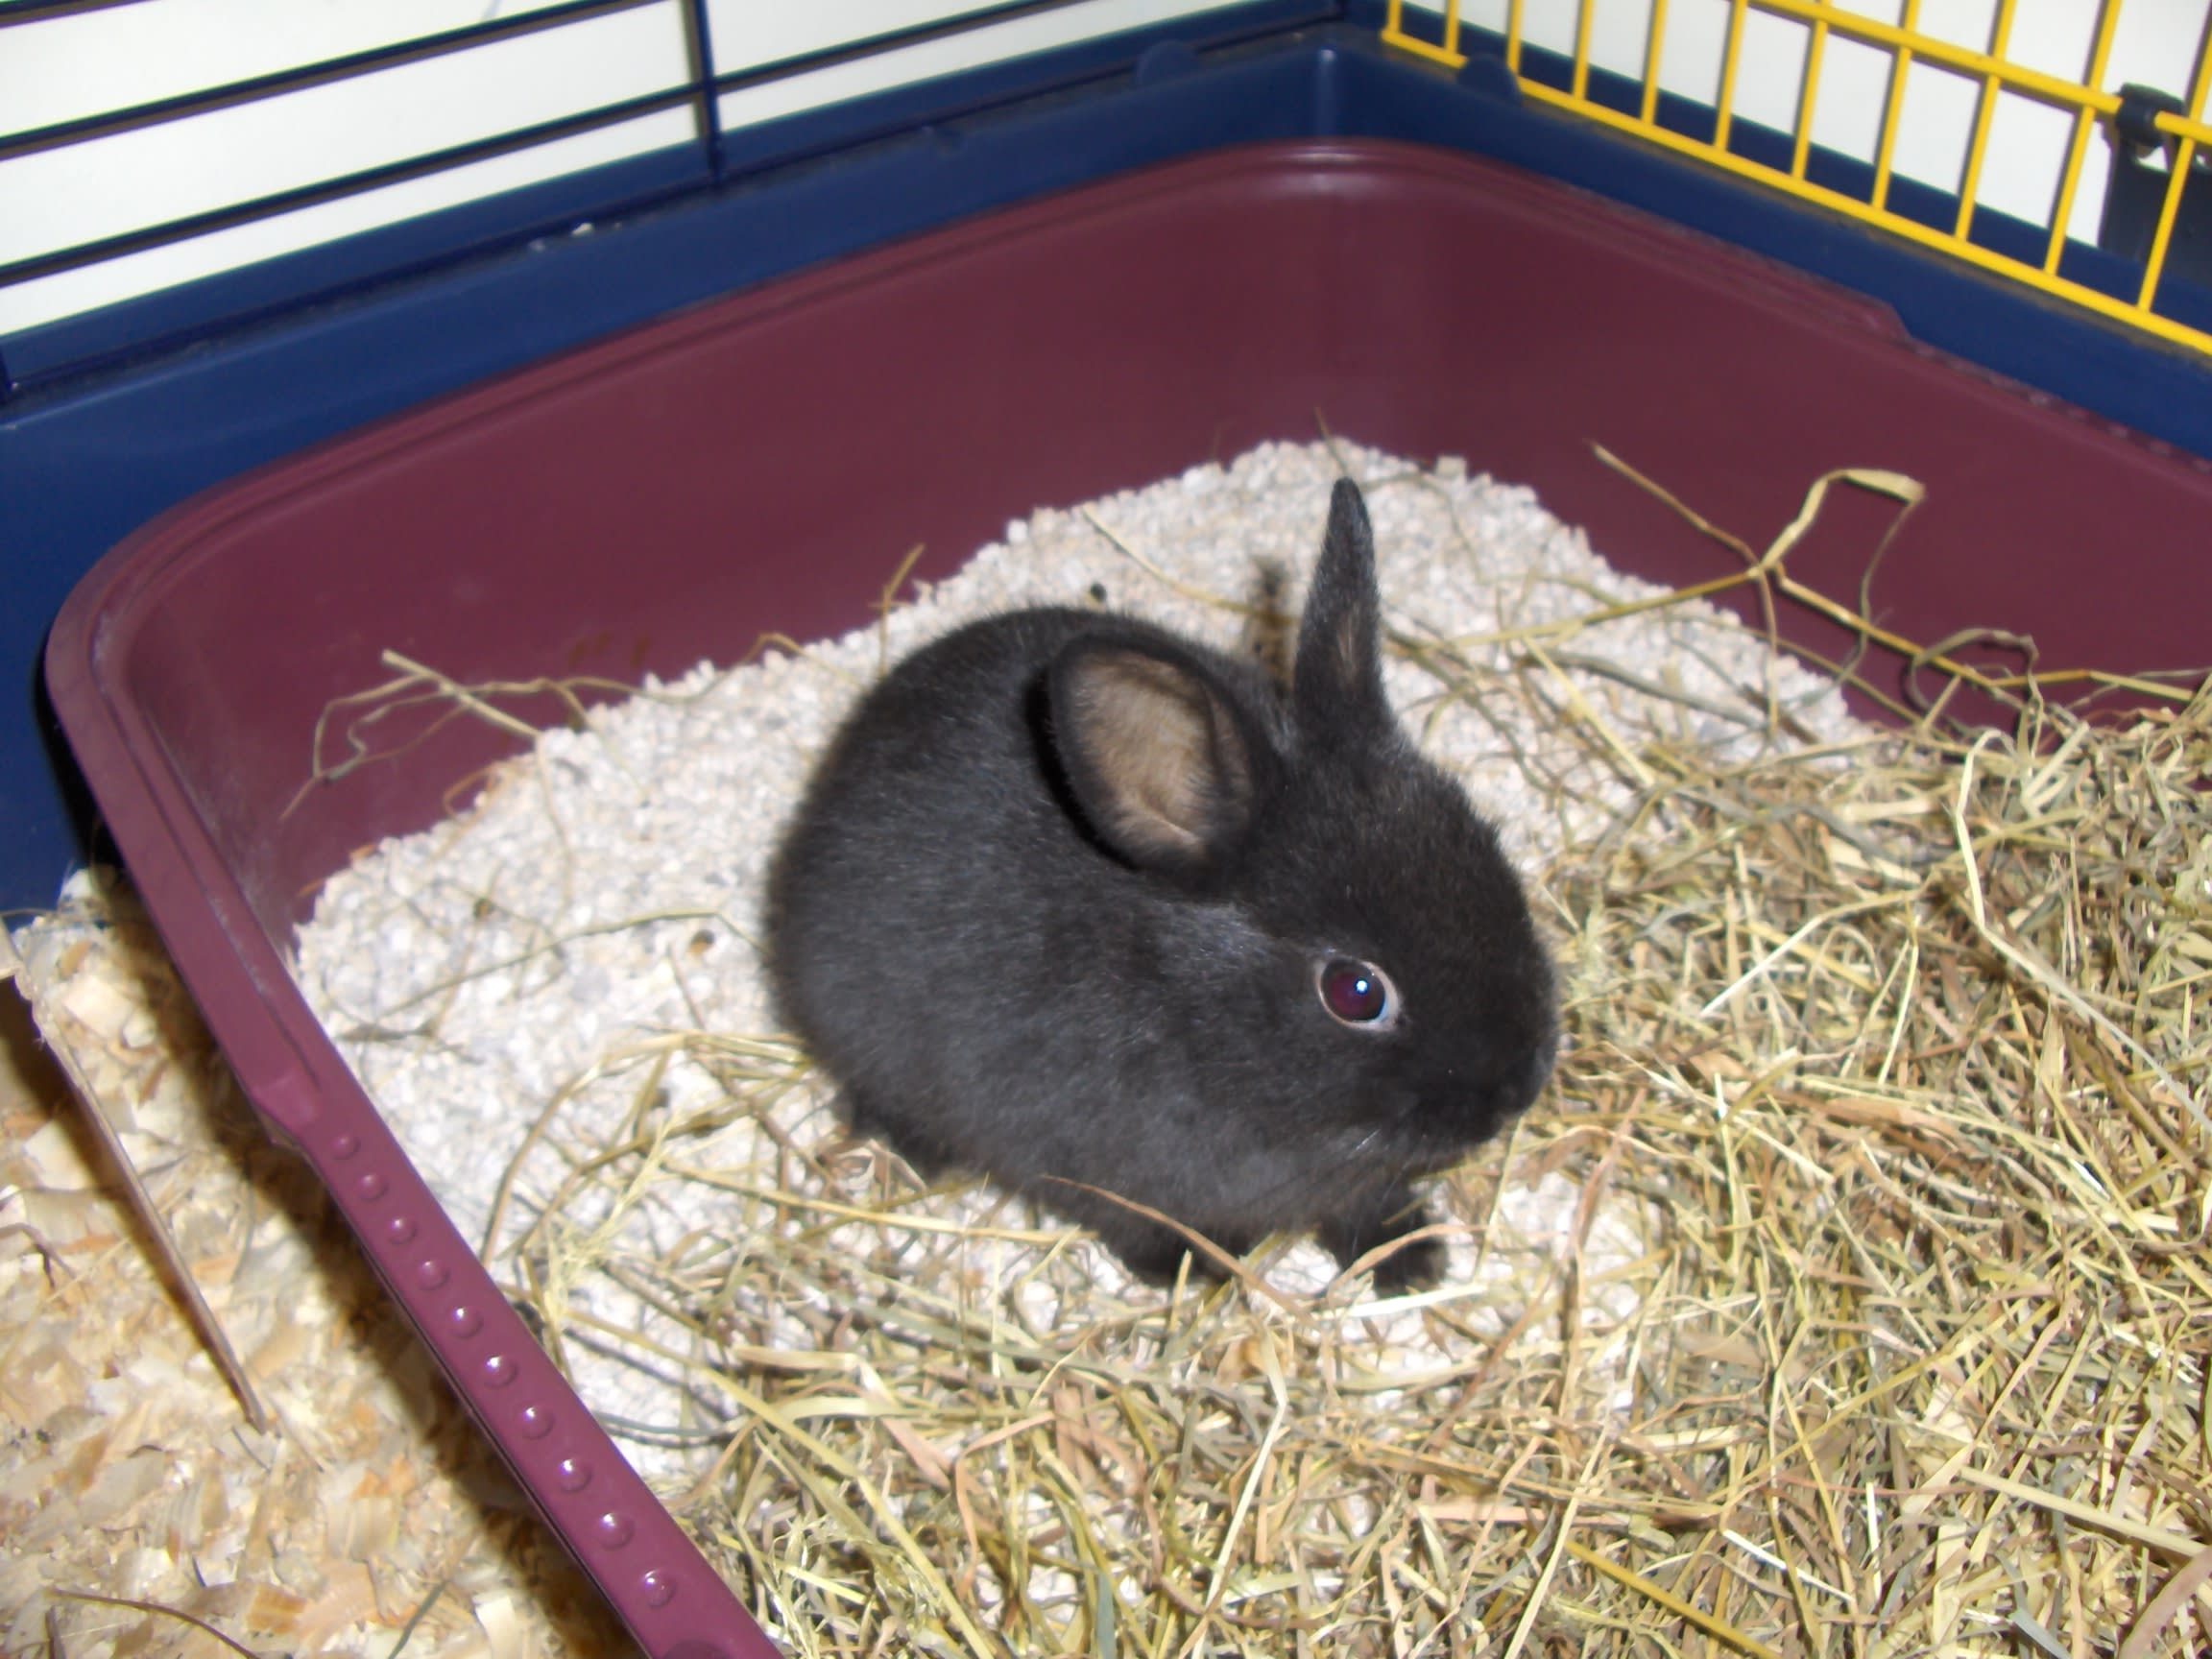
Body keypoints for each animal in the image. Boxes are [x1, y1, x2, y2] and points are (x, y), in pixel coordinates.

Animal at [765, 478, 1556, 1290]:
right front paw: (1198, 1269)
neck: (1189, 1015)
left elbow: (1366, 1207)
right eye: (1356, 992)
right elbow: (1138, 1222)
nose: (1516, 1088)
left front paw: (1415, 1258)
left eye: (1491, 852)